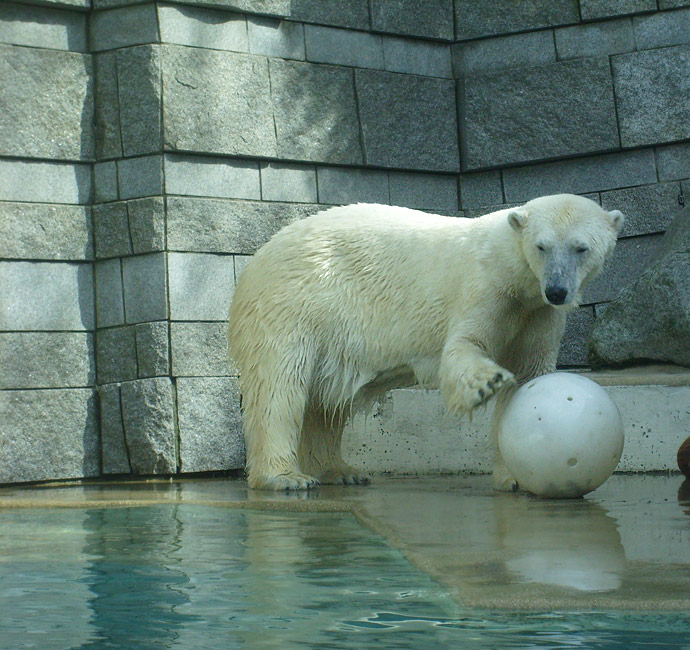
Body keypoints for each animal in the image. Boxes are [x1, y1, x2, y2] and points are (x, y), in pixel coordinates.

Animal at [227, 195, 624, 488]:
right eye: (542, 246)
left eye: (581, 248)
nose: (557, 290)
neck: (511, 268)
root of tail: (256, 259)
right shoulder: (484, 288)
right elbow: (464, 346)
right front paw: (486, 383)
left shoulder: (538, 313)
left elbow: (529, 375)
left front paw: (512, 476)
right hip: (293, 303)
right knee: (280, 387)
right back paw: (286, 477)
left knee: (326, 402)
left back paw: (340, 471)